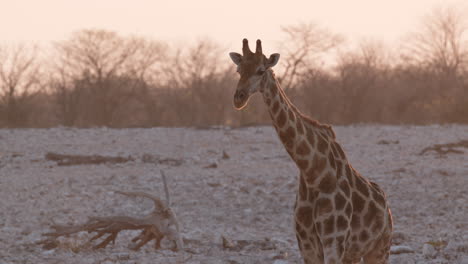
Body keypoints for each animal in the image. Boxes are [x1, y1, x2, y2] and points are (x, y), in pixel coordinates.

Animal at [229, 38, 394, 262]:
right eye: (238, 70)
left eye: (261, 70)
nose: (239, 98)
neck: (313, 173)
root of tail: (386, 207)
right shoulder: (306, 245)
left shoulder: (334, 241)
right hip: (354, 254)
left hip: (380, 248)